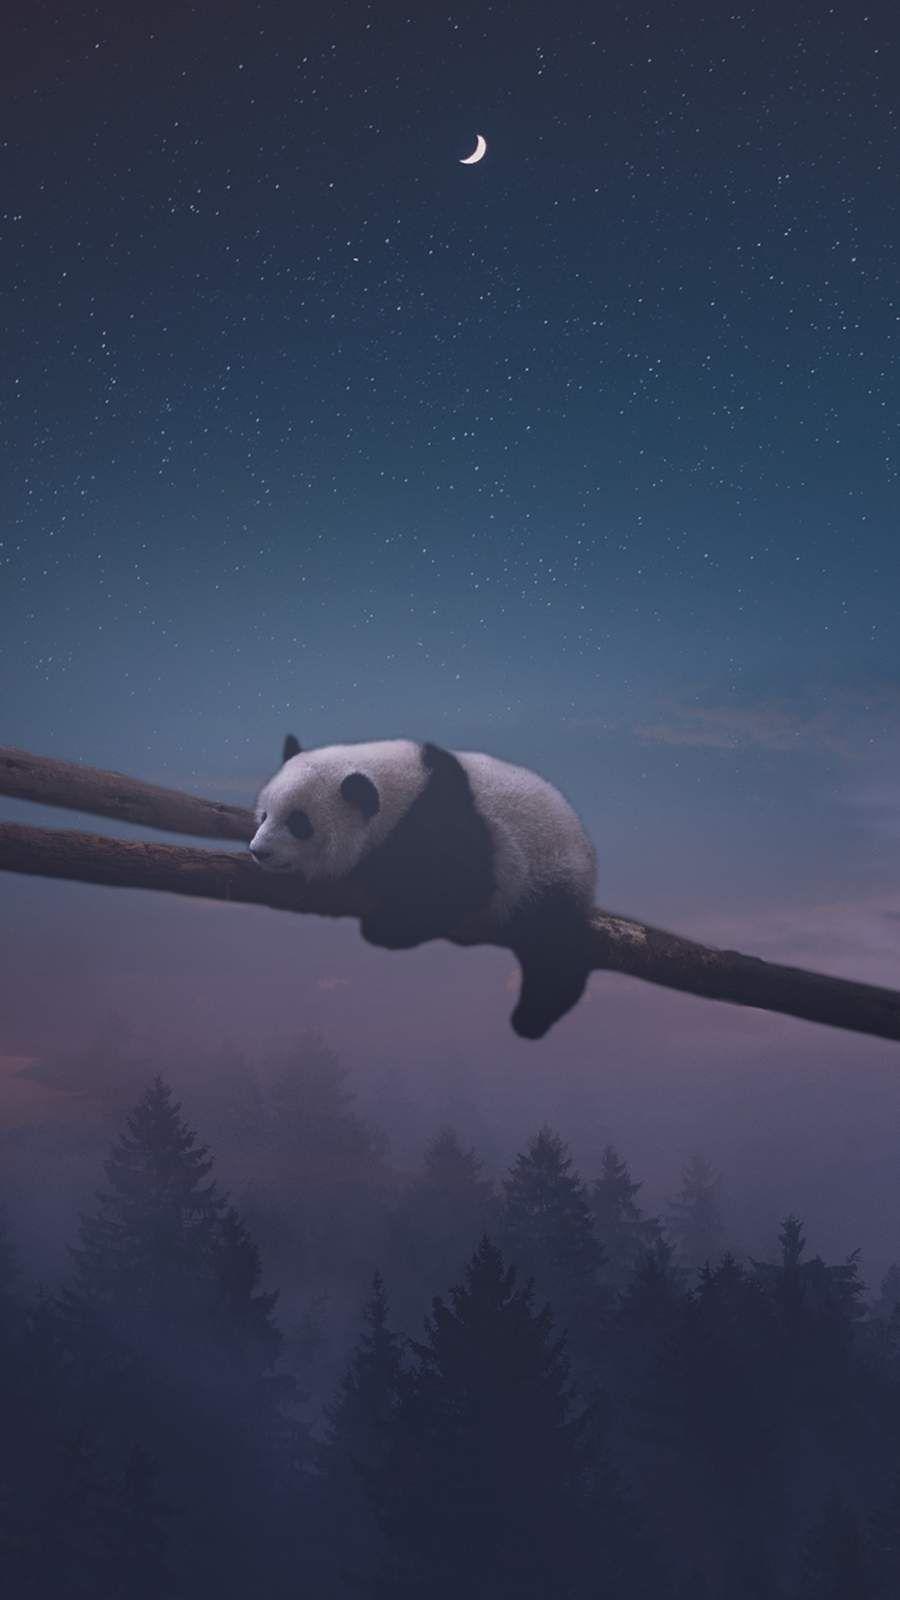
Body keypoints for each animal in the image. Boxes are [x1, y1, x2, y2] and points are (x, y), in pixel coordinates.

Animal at [249, 734, 597, 1039]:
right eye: (264, 814)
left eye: (299, 823)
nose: (258, 851)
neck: (399, 790)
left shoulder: (451, 821)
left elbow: (460, 885)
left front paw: (386, 925)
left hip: (549, 871)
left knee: (553, 947)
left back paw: (532, 1017)